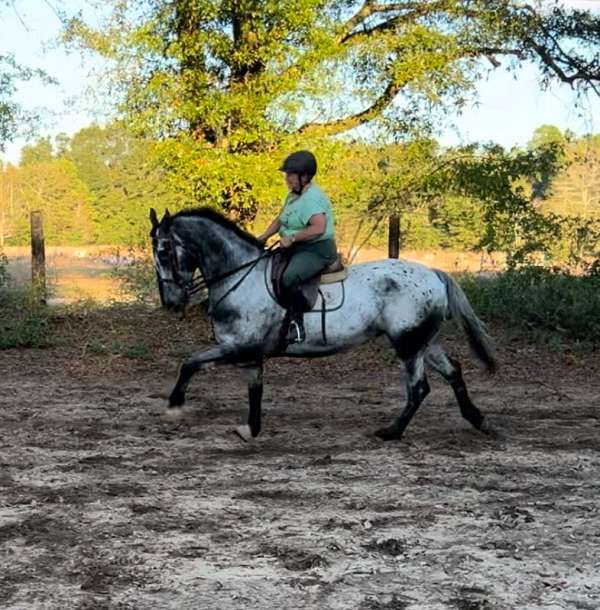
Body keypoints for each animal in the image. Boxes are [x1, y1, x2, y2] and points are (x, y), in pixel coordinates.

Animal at [150, 207, 496, 440]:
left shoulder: (239, 347)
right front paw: (252, 429)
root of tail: (433, 273)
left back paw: (391, 431)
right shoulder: (250, 353)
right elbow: (254, 390)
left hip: (407, 344)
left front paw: (174, 405)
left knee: (418, 388)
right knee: (453, 372)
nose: (171, 302)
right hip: (422, 340)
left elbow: (190, 363)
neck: (239, 276)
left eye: (164, 253)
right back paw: (477, 419)